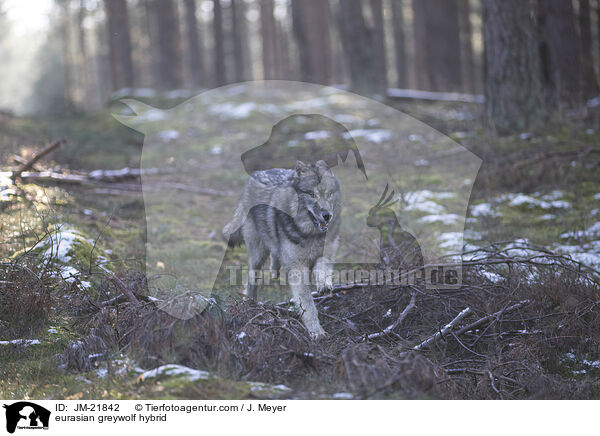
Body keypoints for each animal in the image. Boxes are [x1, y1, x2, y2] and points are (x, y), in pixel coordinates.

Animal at [221, 159, 342, 338]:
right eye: (312, 194)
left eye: (328, 194)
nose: (327, 215)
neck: (310, 235)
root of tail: (254, 175)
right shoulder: (298, 268)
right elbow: (307, 305)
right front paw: (316, 332)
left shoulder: (326, 254)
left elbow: (323, 270)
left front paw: (324, 284)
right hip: (258, 255)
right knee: (251, 278)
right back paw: (250, 304)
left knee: (275, 256)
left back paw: (275, 271)